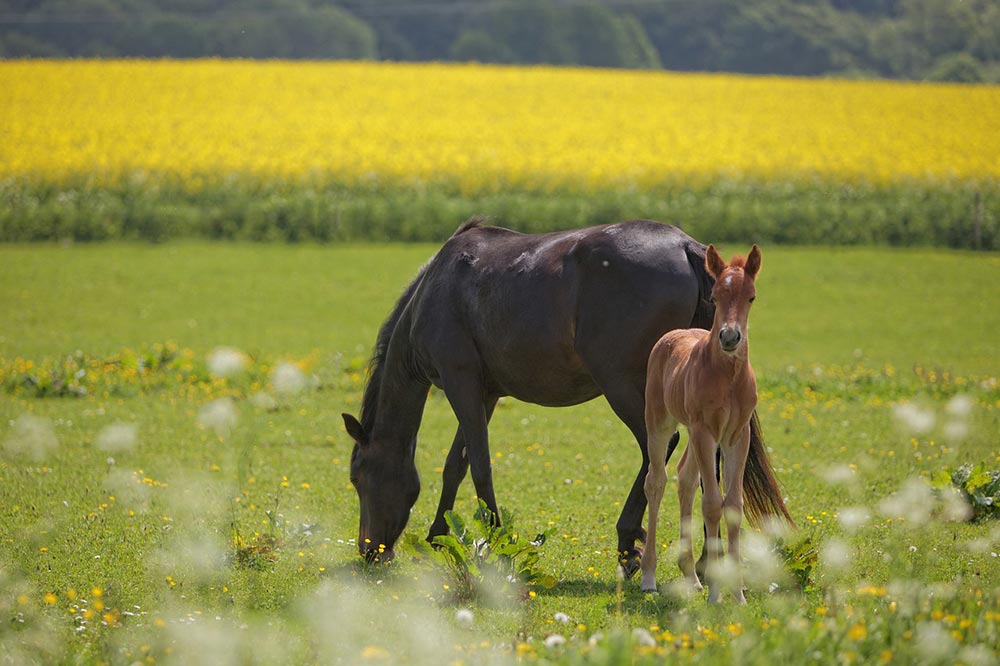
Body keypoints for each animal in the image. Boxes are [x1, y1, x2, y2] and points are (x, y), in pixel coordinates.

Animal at [640, 244, 764, 600]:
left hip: (697, 435)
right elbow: (711, 504)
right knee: (656, 482)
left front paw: (737, 594)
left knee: (685, 478)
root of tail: (674, 334)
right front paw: (715, 595)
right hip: (662, 424)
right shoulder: (705, 431)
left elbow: (732, 506)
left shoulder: (736, 435)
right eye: (716, 295)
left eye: (751, 297)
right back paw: (649, 576)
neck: (728, 377)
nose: (730, 337)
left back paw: (692, 576)